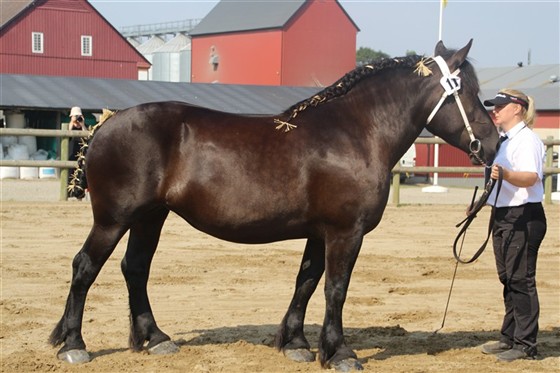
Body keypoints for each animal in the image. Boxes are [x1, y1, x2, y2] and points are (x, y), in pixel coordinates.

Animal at [49, 41, 498, 370]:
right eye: (468, 92)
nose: (494, 143)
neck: (354, 133)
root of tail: (106, 122)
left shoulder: (319, 233)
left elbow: (307, 282)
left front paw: (296, 343)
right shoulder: (345, 232)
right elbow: (336, 289)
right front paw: (339, 352)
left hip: (149, 218)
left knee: (135, 269)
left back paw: (156, 339)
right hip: (114, 219)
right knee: (85, 267)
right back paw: (74, 345)